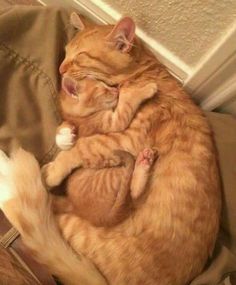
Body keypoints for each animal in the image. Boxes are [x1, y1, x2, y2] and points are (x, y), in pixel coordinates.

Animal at [53, 75, 159, 226]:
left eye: (105, 84)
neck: (82, 118)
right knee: (133, 191)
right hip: (116, 174)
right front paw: (145, 89)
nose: (116, 89)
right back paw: (144, 162)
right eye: (101, 89)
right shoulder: (113, 121)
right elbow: (127, 103)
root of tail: (75, 208)